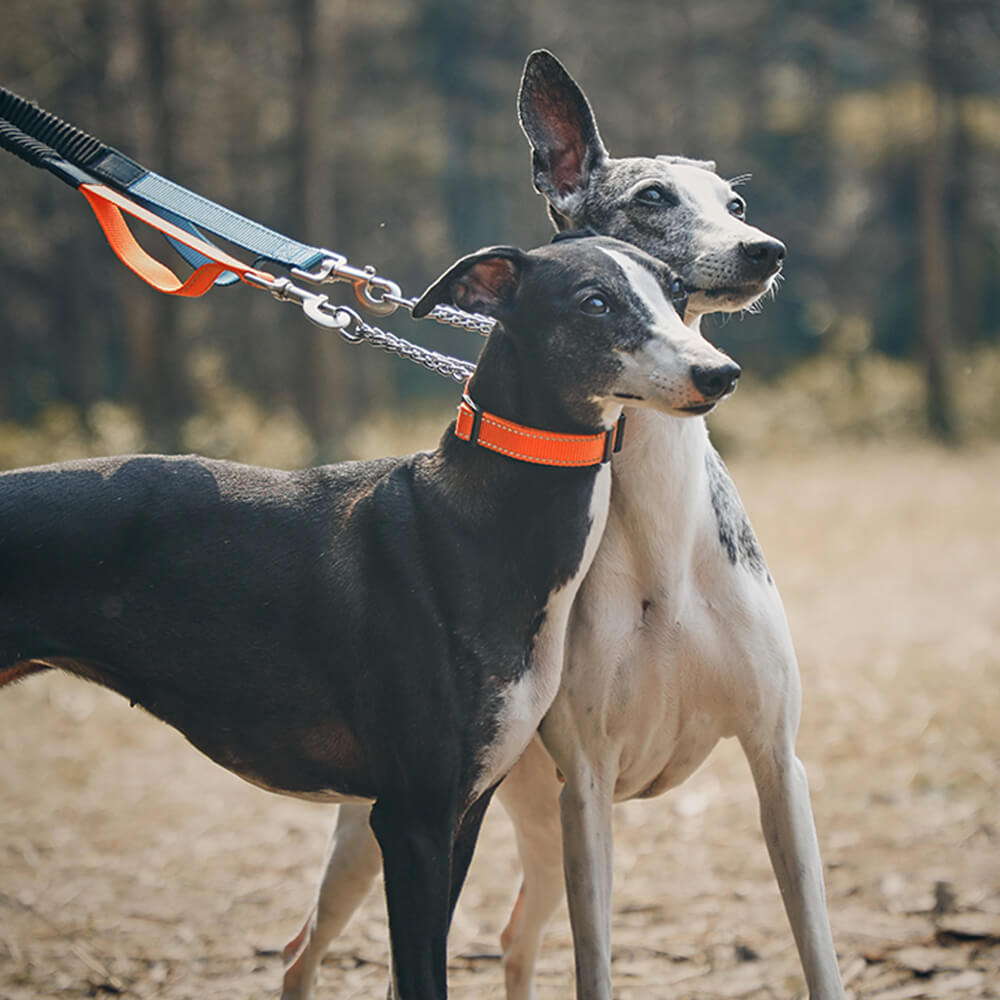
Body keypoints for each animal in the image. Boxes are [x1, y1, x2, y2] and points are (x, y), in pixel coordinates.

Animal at [284, 50, 844, 1000]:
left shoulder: (777, 761)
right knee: (305, 949)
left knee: (515, 934)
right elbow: (595, 962)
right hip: (386, 834)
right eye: (653, 197)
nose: (764, 249)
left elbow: (817, 951)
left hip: (527, 827)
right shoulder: (587, 784)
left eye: (734, 204)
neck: (662, 532)